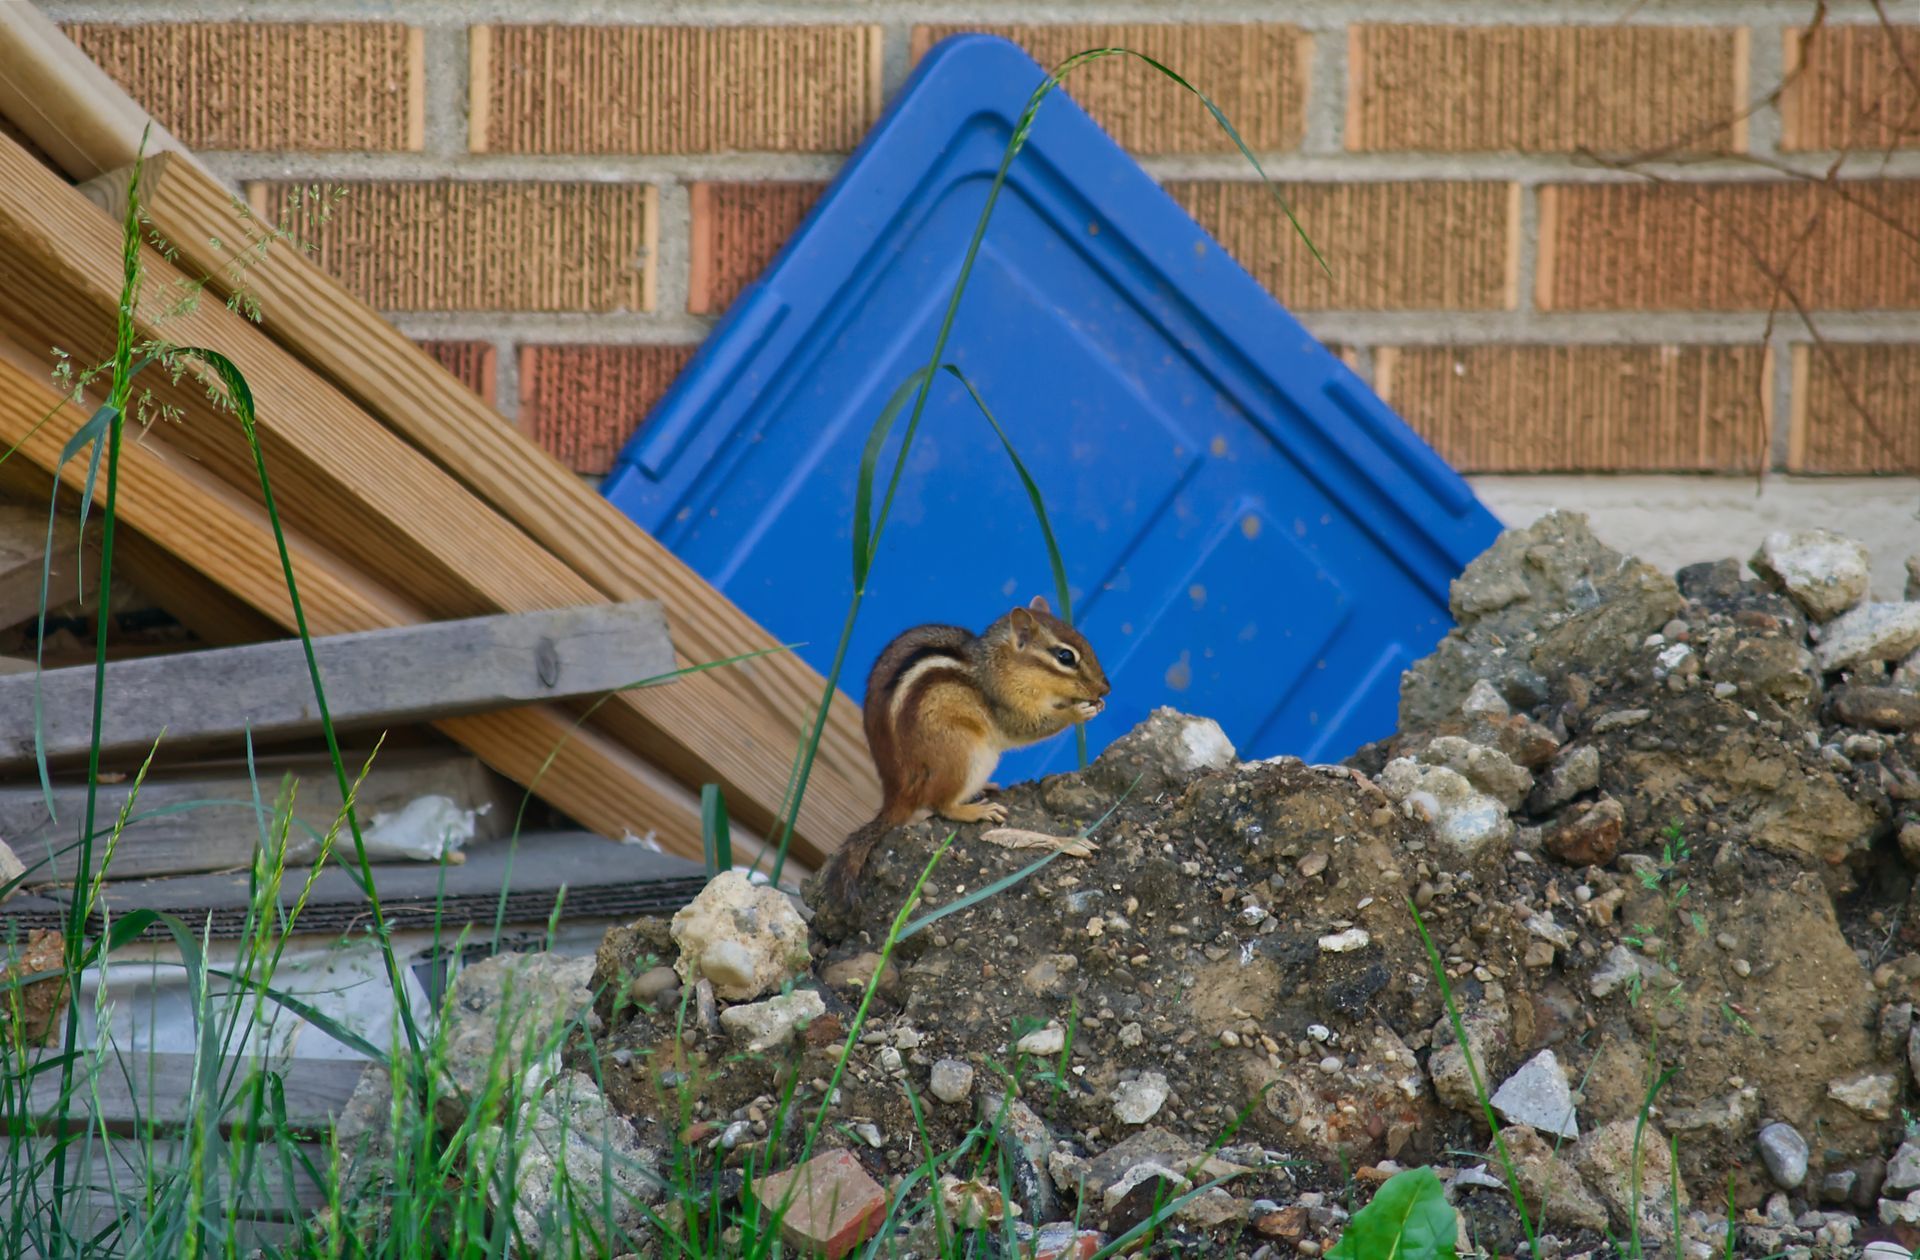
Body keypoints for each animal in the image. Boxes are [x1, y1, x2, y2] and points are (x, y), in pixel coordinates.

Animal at [814, 595, 1111, 920]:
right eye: (1065, 657)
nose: (1106, 688)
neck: (1000, 664)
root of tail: (897, 793)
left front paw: (1096, 704)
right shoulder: (1008, 707)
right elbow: (1029, 727)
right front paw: (1078, 711)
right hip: (965, 755)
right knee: (941, 805)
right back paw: (975, 810)